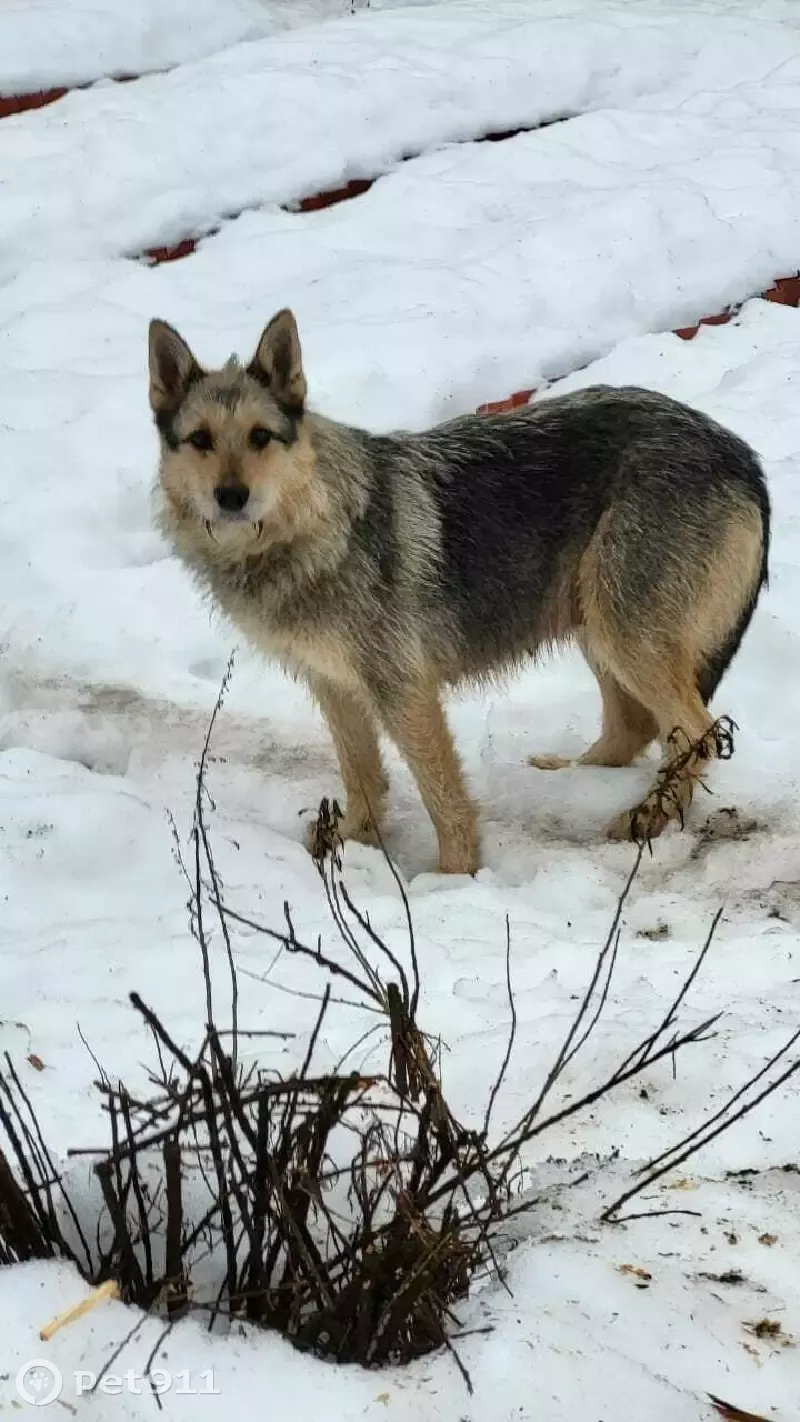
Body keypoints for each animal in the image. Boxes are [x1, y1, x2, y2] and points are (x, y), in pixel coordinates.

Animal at [148, 305, 767, 870]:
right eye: (200, 440)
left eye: (260, 437)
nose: (231, 497)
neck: (313, 528)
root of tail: (741, 452)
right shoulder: (335, 686)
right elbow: (362, 777)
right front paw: (353, 844)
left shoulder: (403, 689)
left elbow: (441, 795)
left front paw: (453, 877)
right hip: (593, 621)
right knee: (635, 727)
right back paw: (574, 781)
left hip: (622, 632)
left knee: (698, 733)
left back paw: (649, 817)